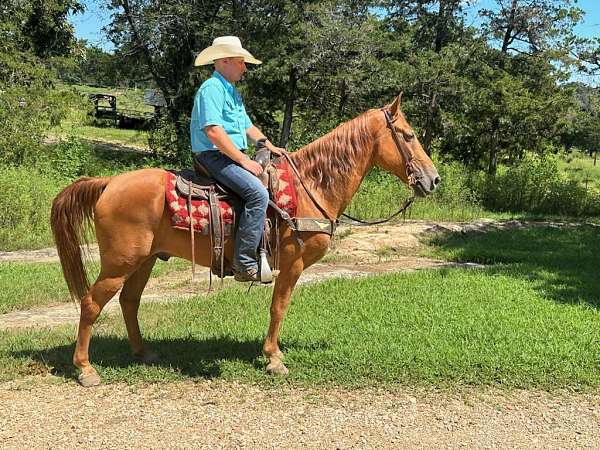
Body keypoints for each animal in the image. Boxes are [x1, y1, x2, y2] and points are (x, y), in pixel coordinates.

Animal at [49, 95, 438, 386]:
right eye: (408, 135)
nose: (433, 179)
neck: (310, 187)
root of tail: (109, 183)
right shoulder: (292, 264)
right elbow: (279, 307)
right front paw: (274, 359)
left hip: (143, 260)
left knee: (129, 301)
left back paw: (144, 353)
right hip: (119, 263)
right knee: (91, 304)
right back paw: (85, 369)